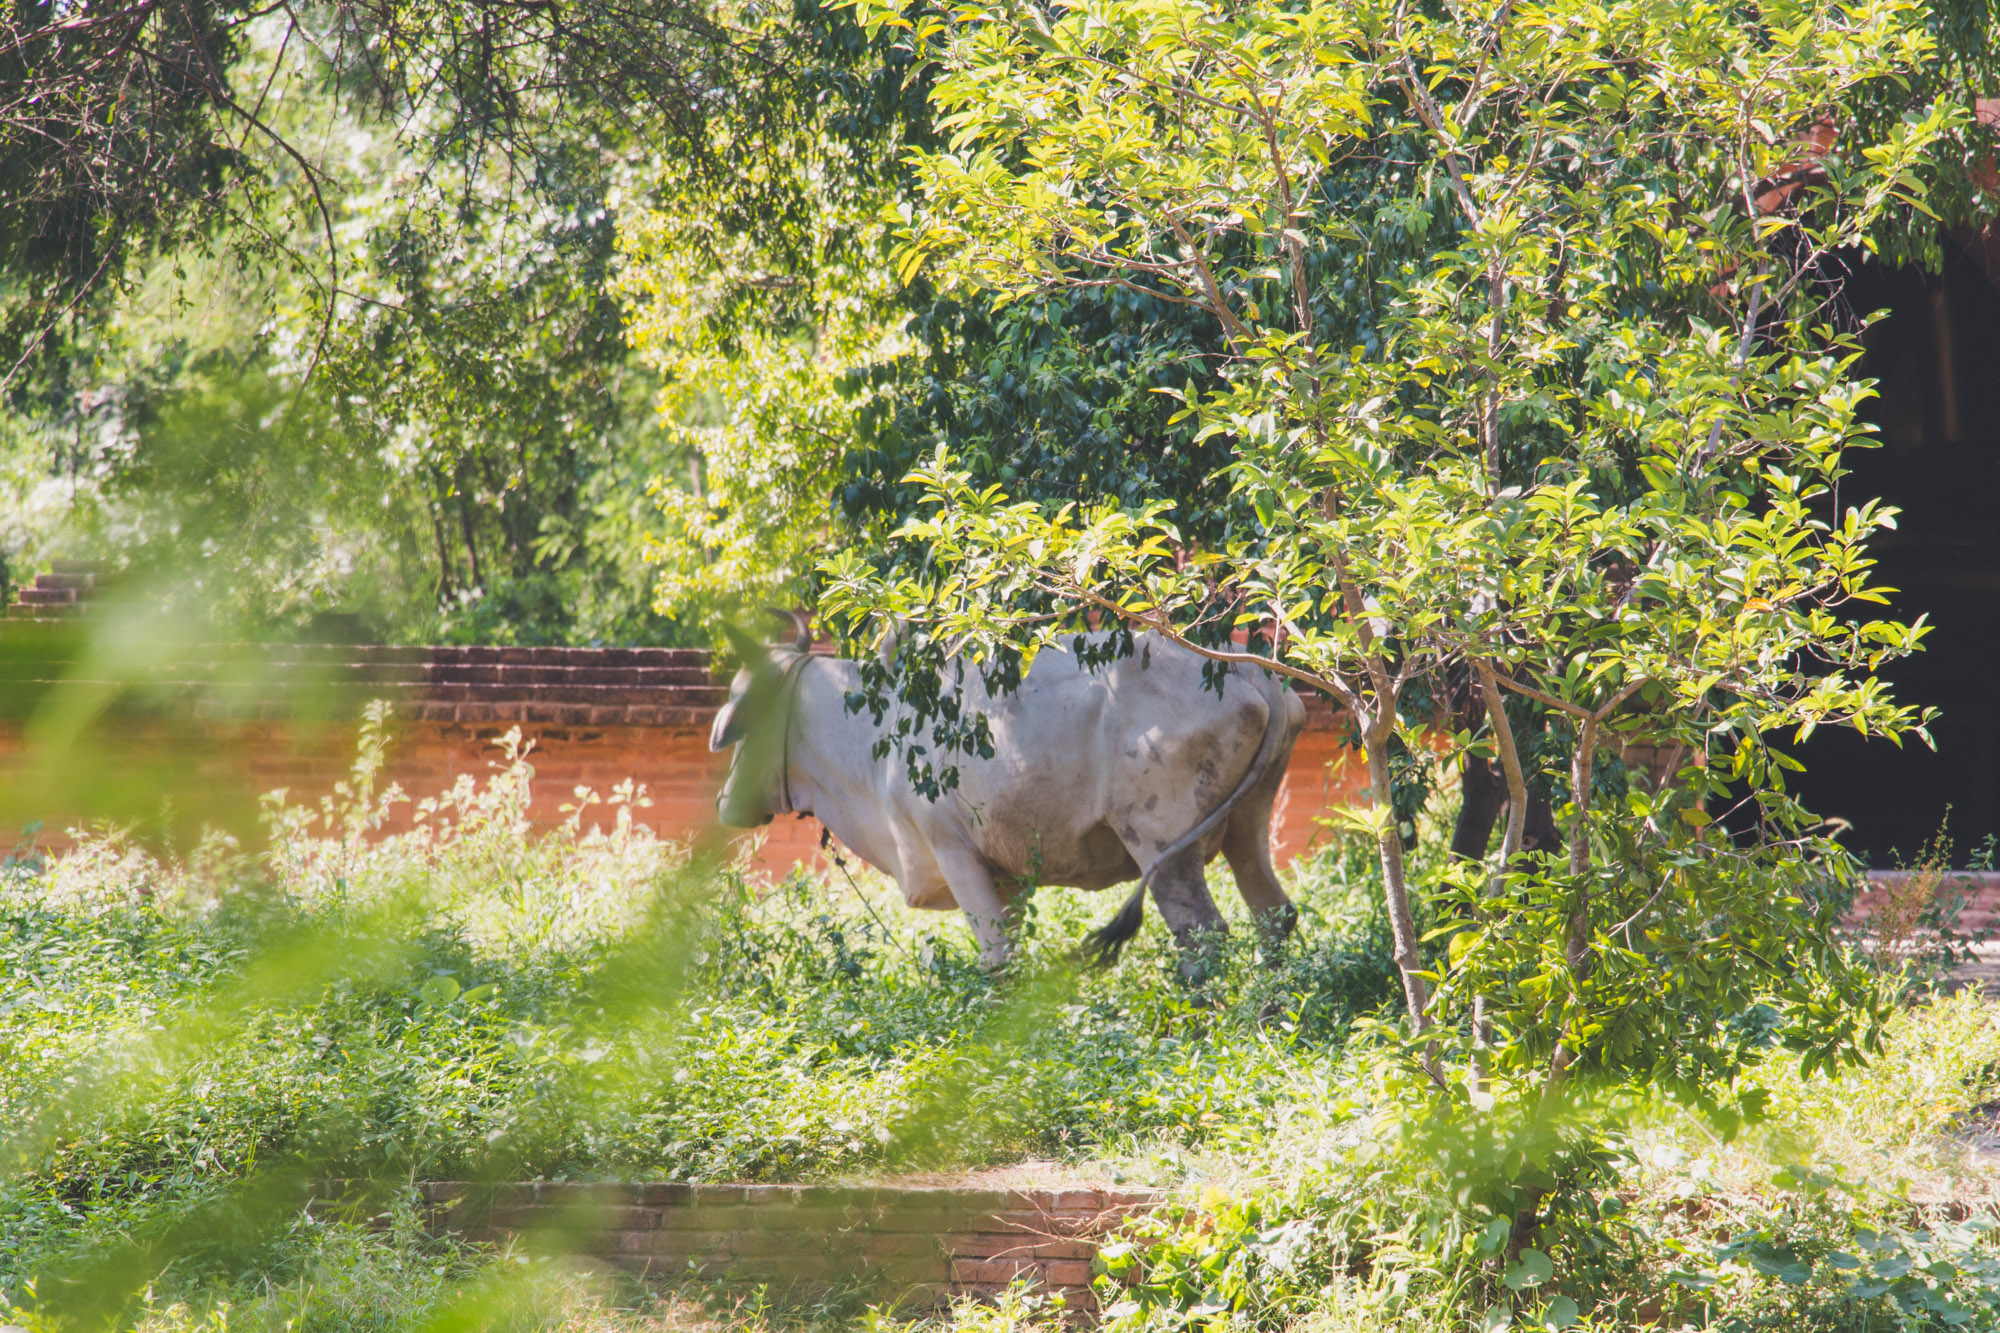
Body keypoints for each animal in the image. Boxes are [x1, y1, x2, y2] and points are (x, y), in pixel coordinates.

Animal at [712, 616, 1304, 972]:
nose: (724, 803)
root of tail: (1250, 673)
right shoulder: (1010, 876)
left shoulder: (954, 851)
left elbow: (995, 960)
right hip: (1247, 829)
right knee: (1274, 916)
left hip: (1163, 846)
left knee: (1202, 933)